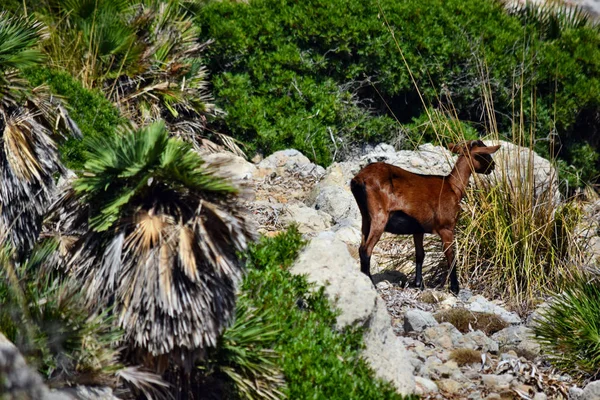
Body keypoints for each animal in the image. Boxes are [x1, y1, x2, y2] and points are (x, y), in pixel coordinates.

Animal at [352, 141, 502, 294]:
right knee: (366, 250)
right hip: (379, 217)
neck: (452, 186)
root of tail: (359, 179)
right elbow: (451, 255)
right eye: (484, 154)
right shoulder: (446, 228)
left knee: (361, 247)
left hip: (366, 218)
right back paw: (371, 284)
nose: (493, 166)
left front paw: (419, 284)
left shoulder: (418, 229)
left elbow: (420, 255)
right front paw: (455, 288)